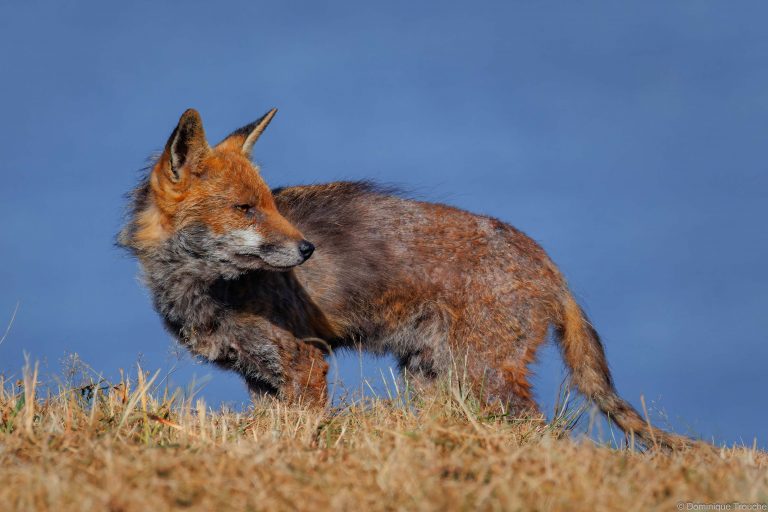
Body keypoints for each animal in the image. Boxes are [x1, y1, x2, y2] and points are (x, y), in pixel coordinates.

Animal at [119, 108, 692, 449]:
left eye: (270, 205)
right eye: (245, 209)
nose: (306, 250)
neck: (204, 285)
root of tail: (550, 265)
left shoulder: (305, 362)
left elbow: (304, 432)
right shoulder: (260, 375)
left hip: (481, 377)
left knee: (541, 431)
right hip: (433, 378)